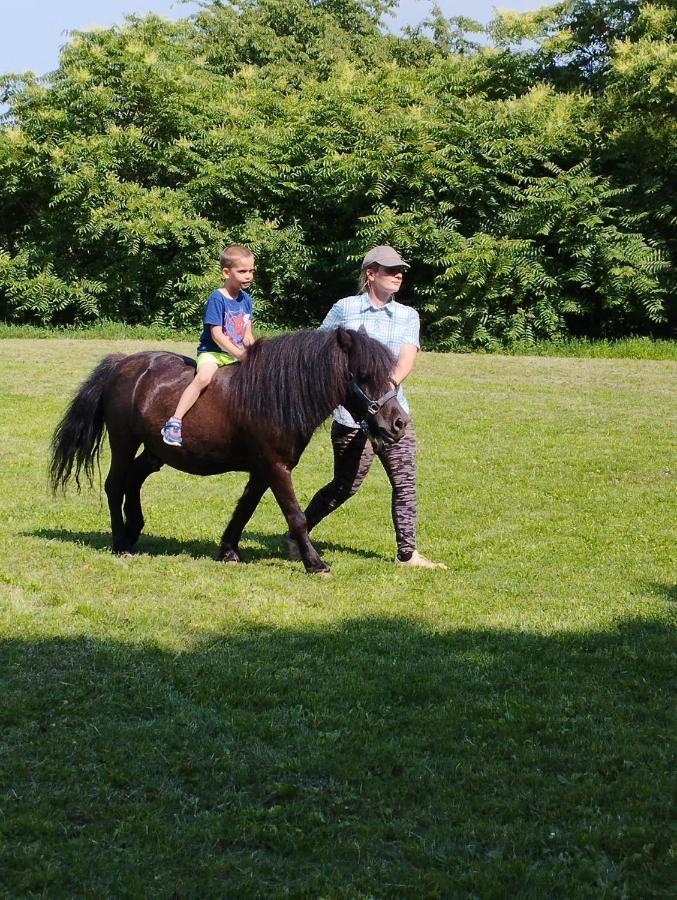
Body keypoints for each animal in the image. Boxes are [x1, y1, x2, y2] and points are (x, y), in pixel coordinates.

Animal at [50, 326, 406, 572]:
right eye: (364, 375)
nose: (398, 423)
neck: (274, 395)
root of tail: (122, 363)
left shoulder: (263, 470)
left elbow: (245, 508)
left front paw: (228, 550)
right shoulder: (276, 467)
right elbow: (295, 515)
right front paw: (315, 563)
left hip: (154, 452)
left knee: (133, 481)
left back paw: (134, 528)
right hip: (124, 441)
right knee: (115, 485)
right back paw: (120, 542)